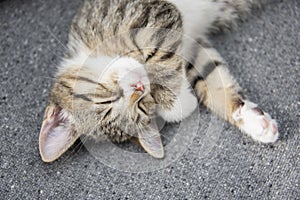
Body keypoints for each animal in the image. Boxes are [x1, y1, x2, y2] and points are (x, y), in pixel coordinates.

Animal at [38, 0, 278, 162]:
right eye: (142, 107)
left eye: (105, 102)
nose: (139, 86)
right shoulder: (193, 49)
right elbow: (212, 80)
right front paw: (253, 120)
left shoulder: (150, 15)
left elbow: (159, 56)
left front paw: (177, 101)